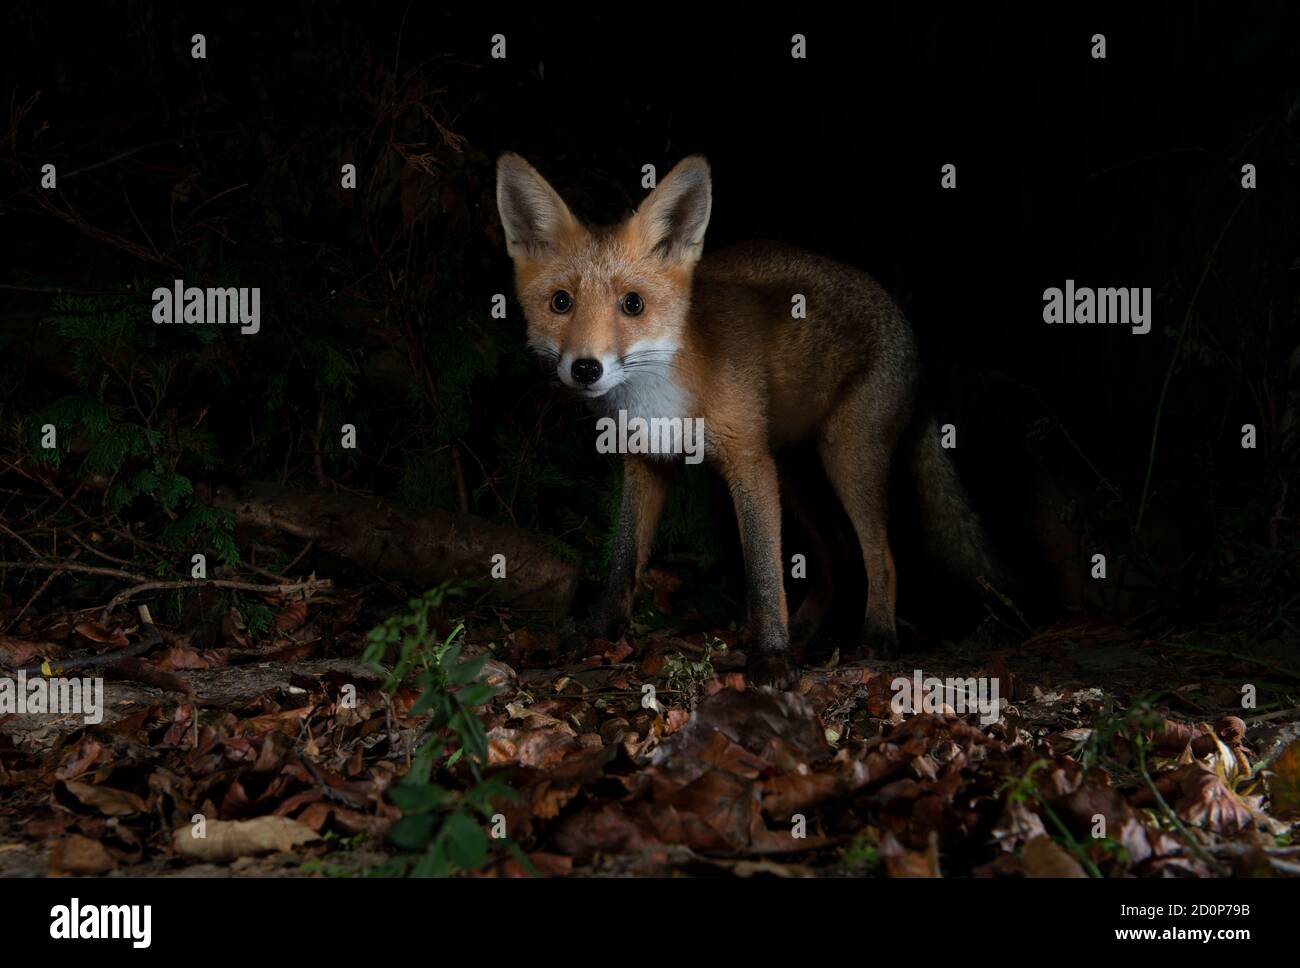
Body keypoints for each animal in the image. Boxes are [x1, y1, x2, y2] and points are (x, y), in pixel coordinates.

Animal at [495, 152, 999, 688]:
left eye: (633, 303)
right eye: (561, 302)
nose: (586, 368)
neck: (663, 393)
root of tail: (905, 322)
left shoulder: (748, 462)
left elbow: (763, 572)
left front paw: (772, 656)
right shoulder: (645, 461)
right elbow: (624, 560)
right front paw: (601, 633)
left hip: (846, 456)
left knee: (880, 556)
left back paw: (878, 635)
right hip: (795, 475)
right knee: (838, 556)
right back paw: (804, 631)